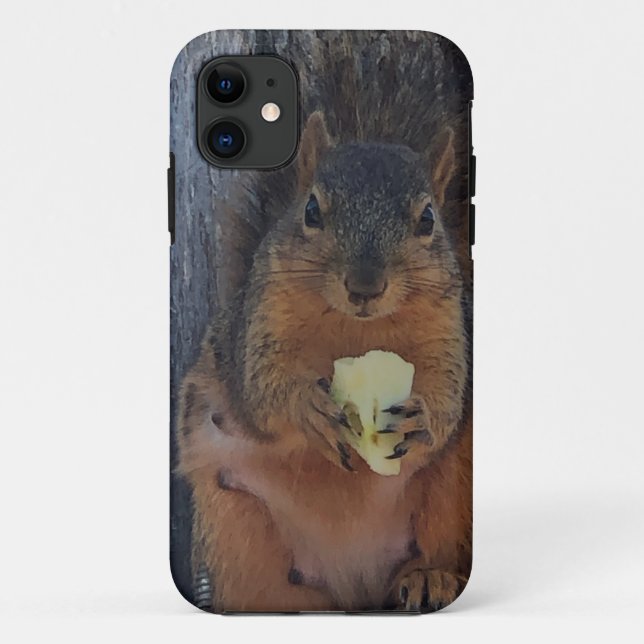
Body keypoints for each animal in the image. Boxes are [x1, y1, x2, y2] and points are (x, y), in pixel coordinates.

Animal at [177, 107, 472, 612]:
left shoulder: (448, 329)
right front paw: (307, 407)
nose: (365, 286)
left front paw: (424, 416)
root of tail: (355, 584)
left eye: (428, 219)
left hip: (451, 494)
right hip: (233, 518)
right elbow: (262, 387)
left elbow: (448, 391)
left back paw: (429, 577)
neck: (356, 328)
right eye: (311, 211)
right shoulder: (260, 324)